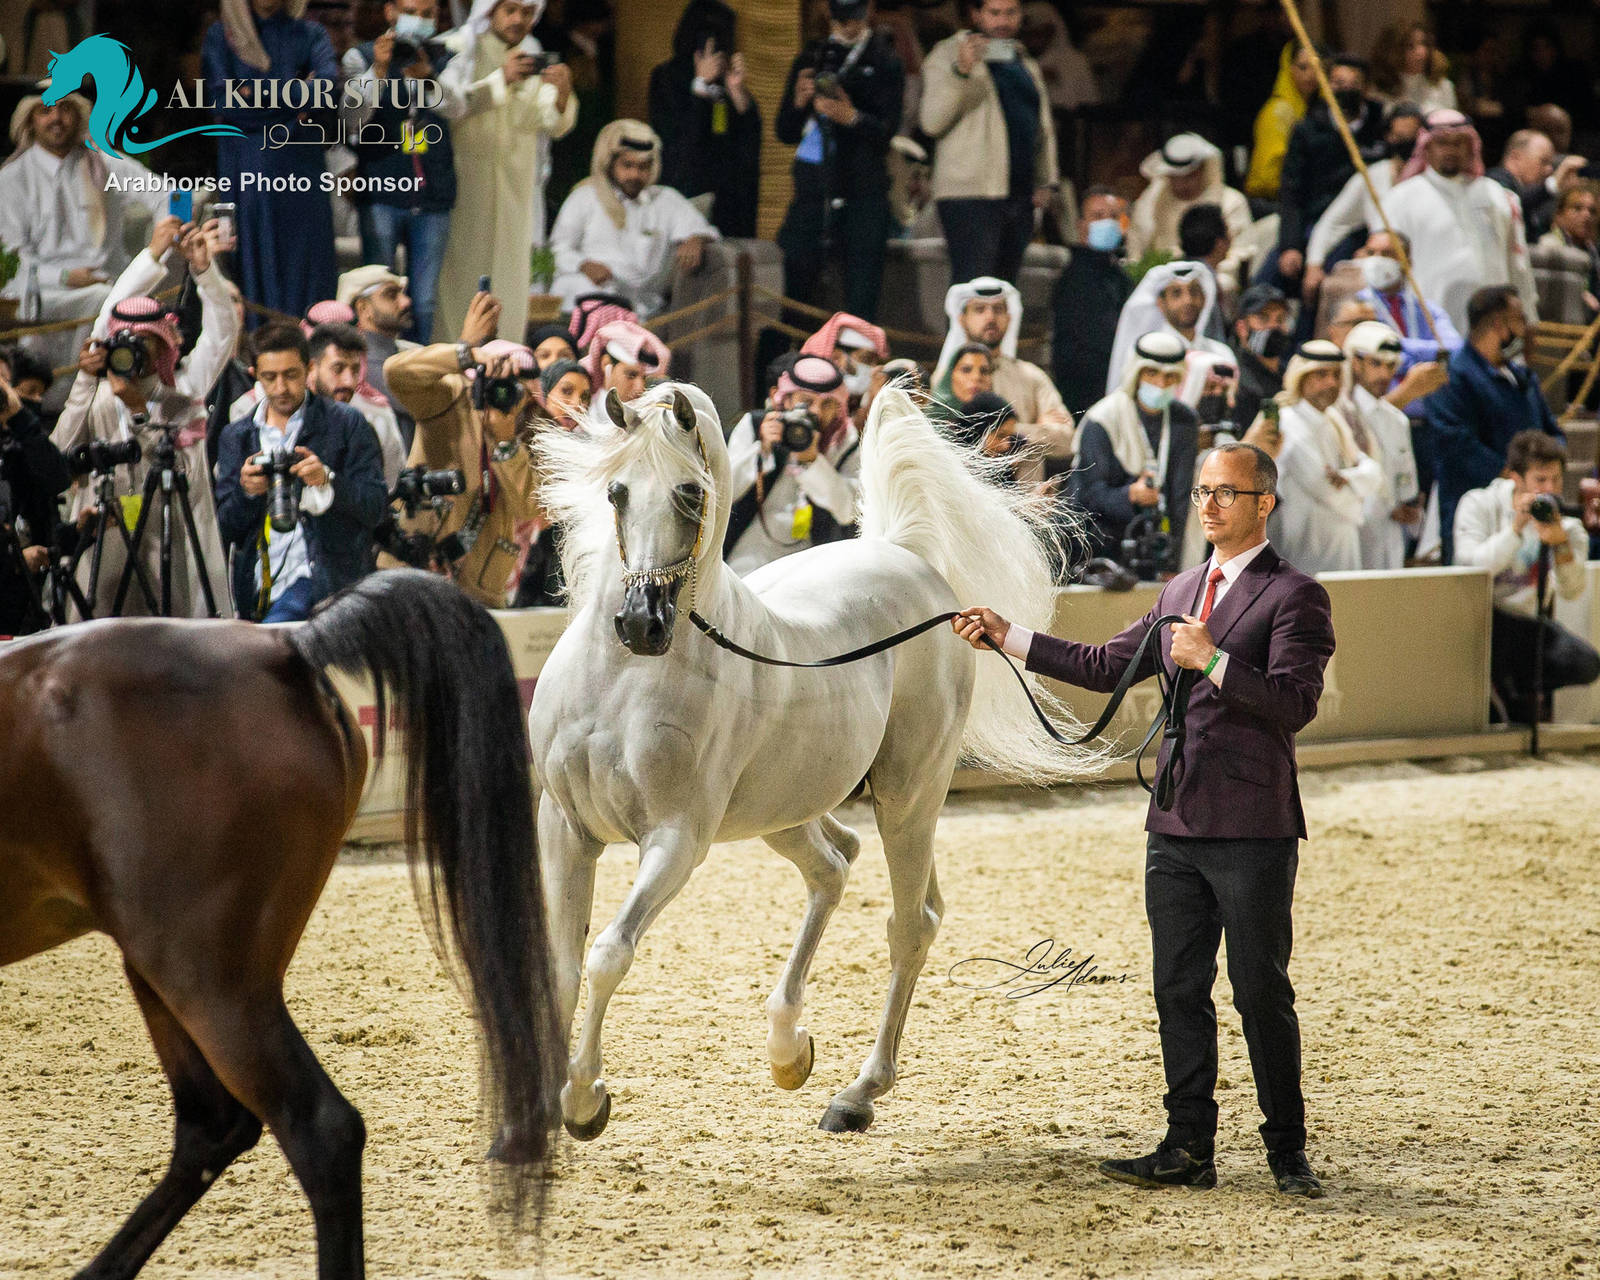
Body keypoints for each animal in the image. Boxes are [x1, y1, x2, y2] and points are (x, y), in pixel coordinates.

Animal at [529, 382, 1104, 1140]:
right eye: (617, 491)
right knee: (835, 865)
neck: (622, 682)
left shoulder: (677, 841)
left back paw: (856, 1093)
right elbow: (563, 967)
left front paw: (585, 1102)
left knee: (910, 922)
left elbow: (606, 955)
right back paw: (789, 1051)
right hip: (784, 810)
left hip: (909, 798)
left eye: (690, 492)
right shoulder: (567, 828)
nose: (640, 623)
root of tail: (905, 555)